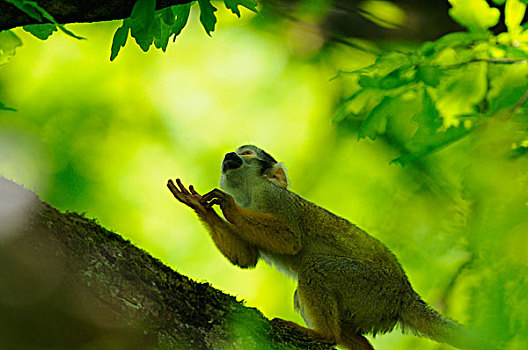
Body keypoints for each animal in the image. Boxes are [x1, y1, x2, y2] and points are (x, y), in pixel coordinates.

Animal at [167, 145, 488, 350]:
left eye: (246, 154)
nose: (229, 155)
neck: (249, 193)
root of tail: (406, 294)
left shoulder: (274, 197)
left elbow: (290, 238)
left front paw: (229, 206)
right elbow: (246, 258)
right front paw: (200, 206)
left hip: (373, 287)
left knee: (315, 267)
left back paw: (325, 335)